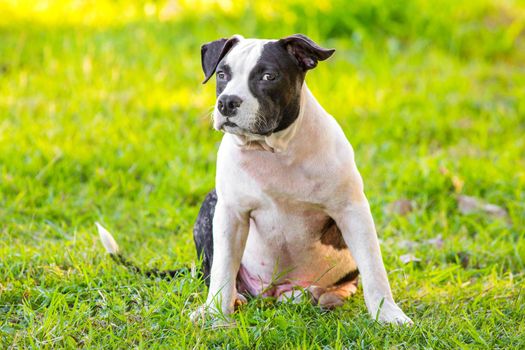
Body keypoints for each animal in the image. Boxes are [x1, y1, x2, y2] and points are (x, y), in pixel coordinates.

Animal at [97, 33, 410, 326]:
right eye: (222, 74)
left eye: (268, 76)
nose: (227, 102)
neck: (275, 151)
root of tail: (274, 292)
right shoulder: (230, 214)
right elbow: (223, 269)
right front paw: (215, 314)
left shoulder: (352, 210)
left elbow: (374, 270)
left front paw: (388, 315)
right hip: (209, 206)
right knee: (216, 274)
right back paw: (233, 300)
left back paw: (327, 296)